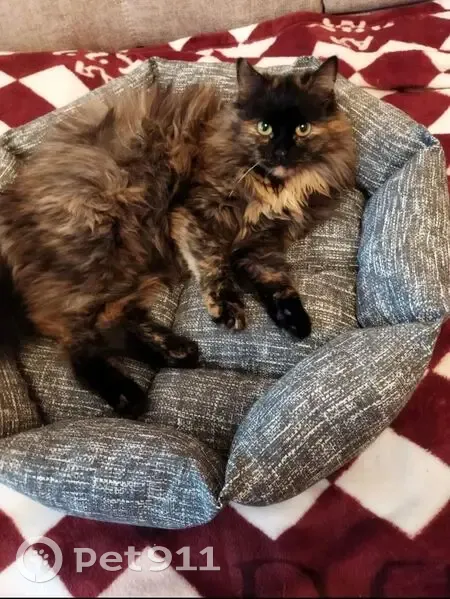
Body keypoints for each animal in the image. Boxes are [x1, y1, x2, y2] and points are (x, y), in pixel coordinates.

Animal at [0, 56, 356, 417]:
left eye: (303, 128)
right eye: (264, 127)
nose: (281, 152)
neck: (276, 186)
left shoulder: (260, 243)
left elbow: (274, 279)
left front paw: (294, 318)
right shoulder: (195, 215)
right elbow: (214, 267)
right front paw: (227, 309)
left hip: (128, 270)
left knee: (110, 324)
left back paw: (178, 353)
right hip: (104, 257)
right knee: (78, 345)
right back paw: (129, 395)